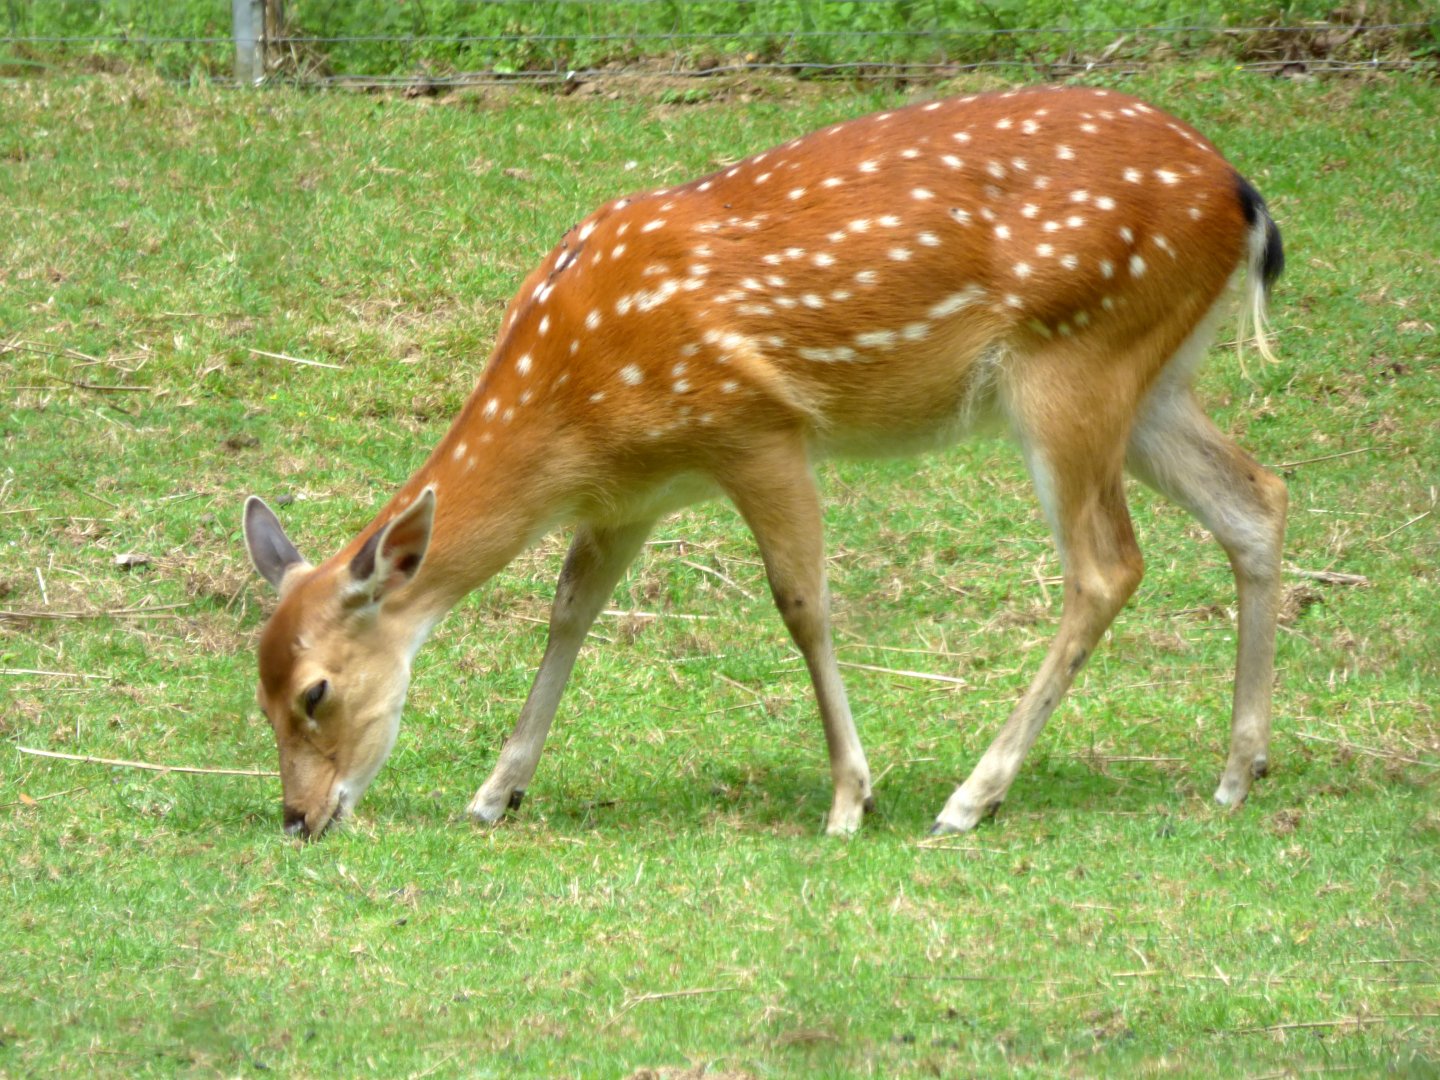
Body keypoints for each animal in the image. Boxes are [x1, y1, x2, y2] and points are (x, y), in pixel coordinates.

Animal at [242, 85, 1287, 841]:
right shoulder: (631, 494)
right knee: (1258, 497)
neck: (575, 407)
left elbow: (802, 604)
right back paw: (1238, 773)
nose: (298, 817)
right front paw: (497, 792)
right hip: (1148, 379)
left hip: (1074, 362)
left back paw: (969, 798)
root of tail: (1243, 197)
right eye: (255, 687)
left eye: (315, 692)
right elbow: (570, 609)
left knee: (1107, 565)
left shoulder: (757, 429)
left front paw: (850, 800)